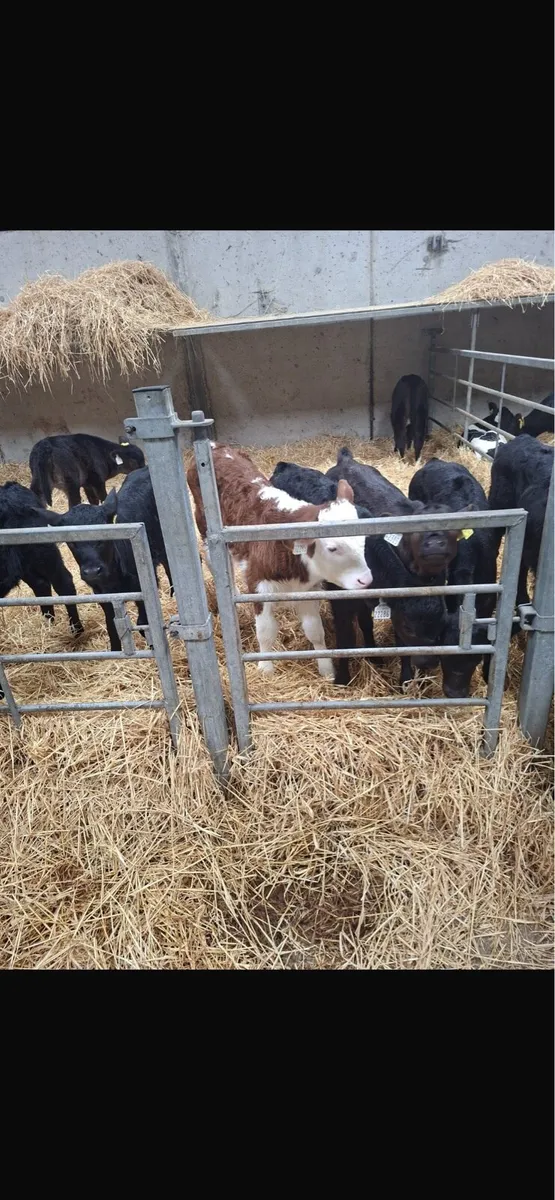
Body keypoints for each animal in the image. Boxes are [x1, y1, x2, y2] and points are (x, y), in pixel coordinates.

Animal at [54, 467, 172, 652]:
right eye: (71, 543)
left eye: (105, 535)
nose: (92, 572)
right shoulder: (103, 594)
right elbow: (112, 626)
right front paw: (115, 650)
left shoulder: (142, 588)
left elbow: (143, 622)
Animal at [186, 445, 373, 678]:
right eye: (332, 547)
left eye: (363, 540)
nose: (365, 579)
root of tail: (214, 446)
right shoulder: (258, 585)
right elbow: (265, 631)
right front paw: (266, 669)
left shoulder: (308, 590)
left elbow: (315, 630)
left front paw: (326, 669)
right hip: (204, 526)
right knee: (215, 560)